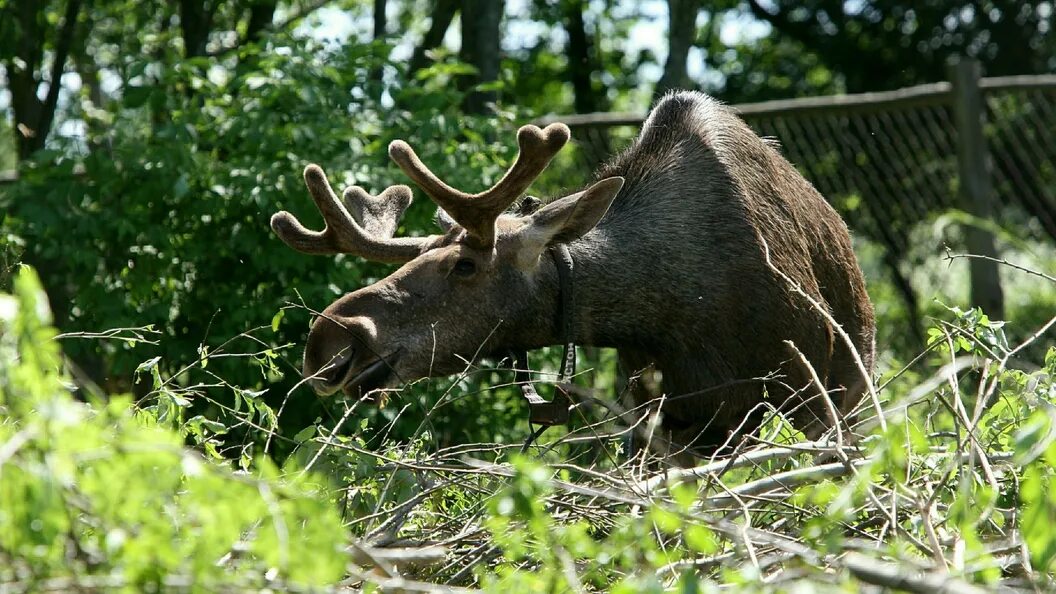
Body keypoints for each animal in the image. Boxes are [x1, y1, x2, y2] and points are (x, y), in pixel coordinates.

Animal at [270, 91, 874, 452]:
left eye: (465, 265)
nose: (328, 339)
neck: (671, 311)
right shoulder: (673, 411)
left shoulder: (810, 387)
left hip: (855, 370)